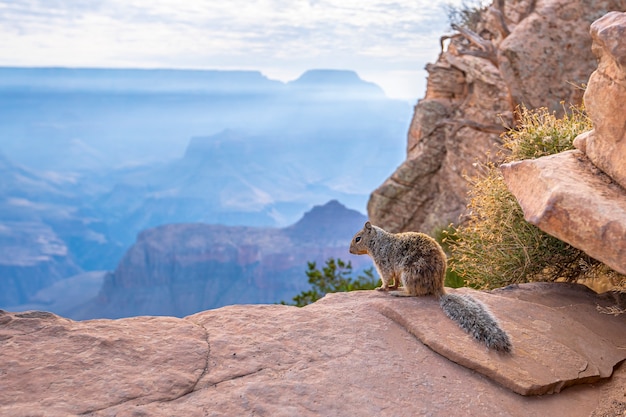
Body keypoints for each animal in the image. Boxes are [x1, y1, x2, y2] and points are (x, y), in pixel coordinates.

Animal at [348, 219, 510, 352]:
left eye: (358, 238)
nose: (349, 251)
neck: (378, 242)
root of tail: (438, 287)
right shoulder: (395, 271)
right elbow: (395, 280)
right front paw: (393, 286)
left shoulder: (384, 264)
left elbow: (386, 278)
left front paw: (382, 288)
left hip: (409, 274)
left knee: (414, 293)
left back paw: (400, 293)